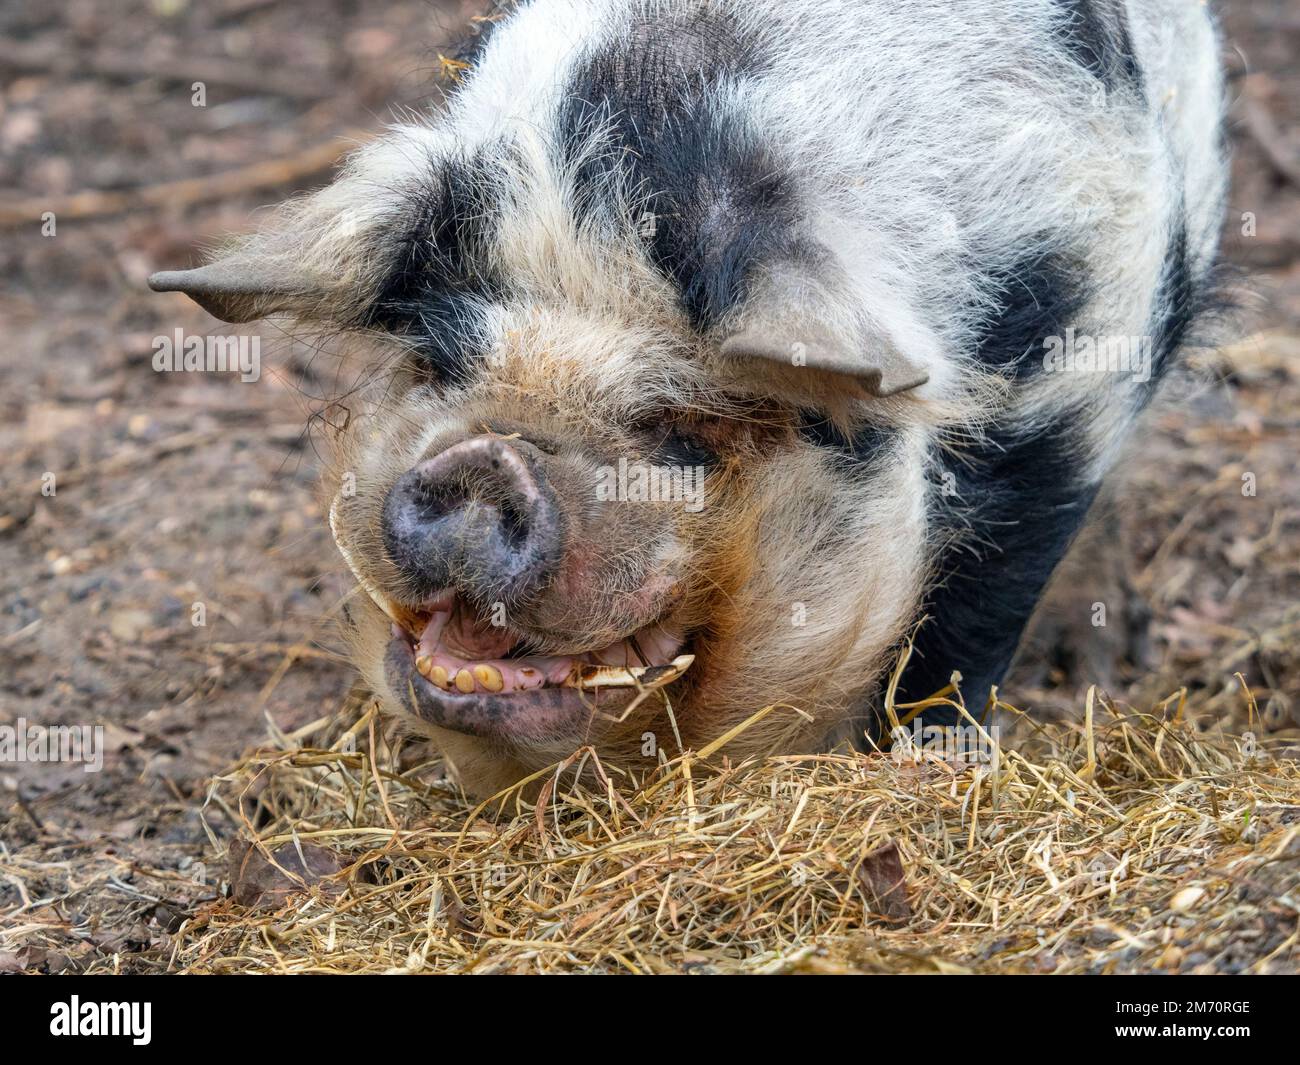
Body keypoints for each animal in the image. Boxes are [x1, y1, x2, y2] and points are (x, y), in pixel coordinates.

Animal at [152, 0, 1227, 795]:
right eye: (441, 362)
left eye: (677, 422)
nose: (485, 460)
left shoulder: (1073, 393)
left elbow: (971, 620)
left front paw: (928, 765)